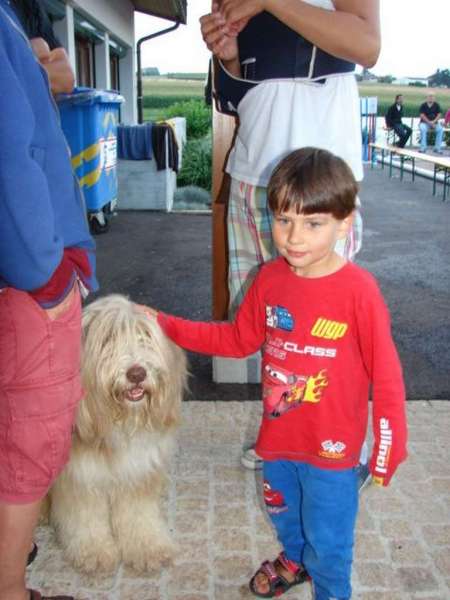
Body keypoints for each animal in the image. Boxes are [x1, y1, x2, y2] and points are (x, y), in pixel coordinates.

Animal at [47, 292, 185, 576]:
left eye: (145, 336)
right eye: (108, 339)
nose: (136, 373)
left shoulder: (137, 472)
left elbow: (138, 515)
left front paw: (148, 548)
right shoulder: (79, 476)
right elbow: (85, 518)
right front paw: (94, 553)